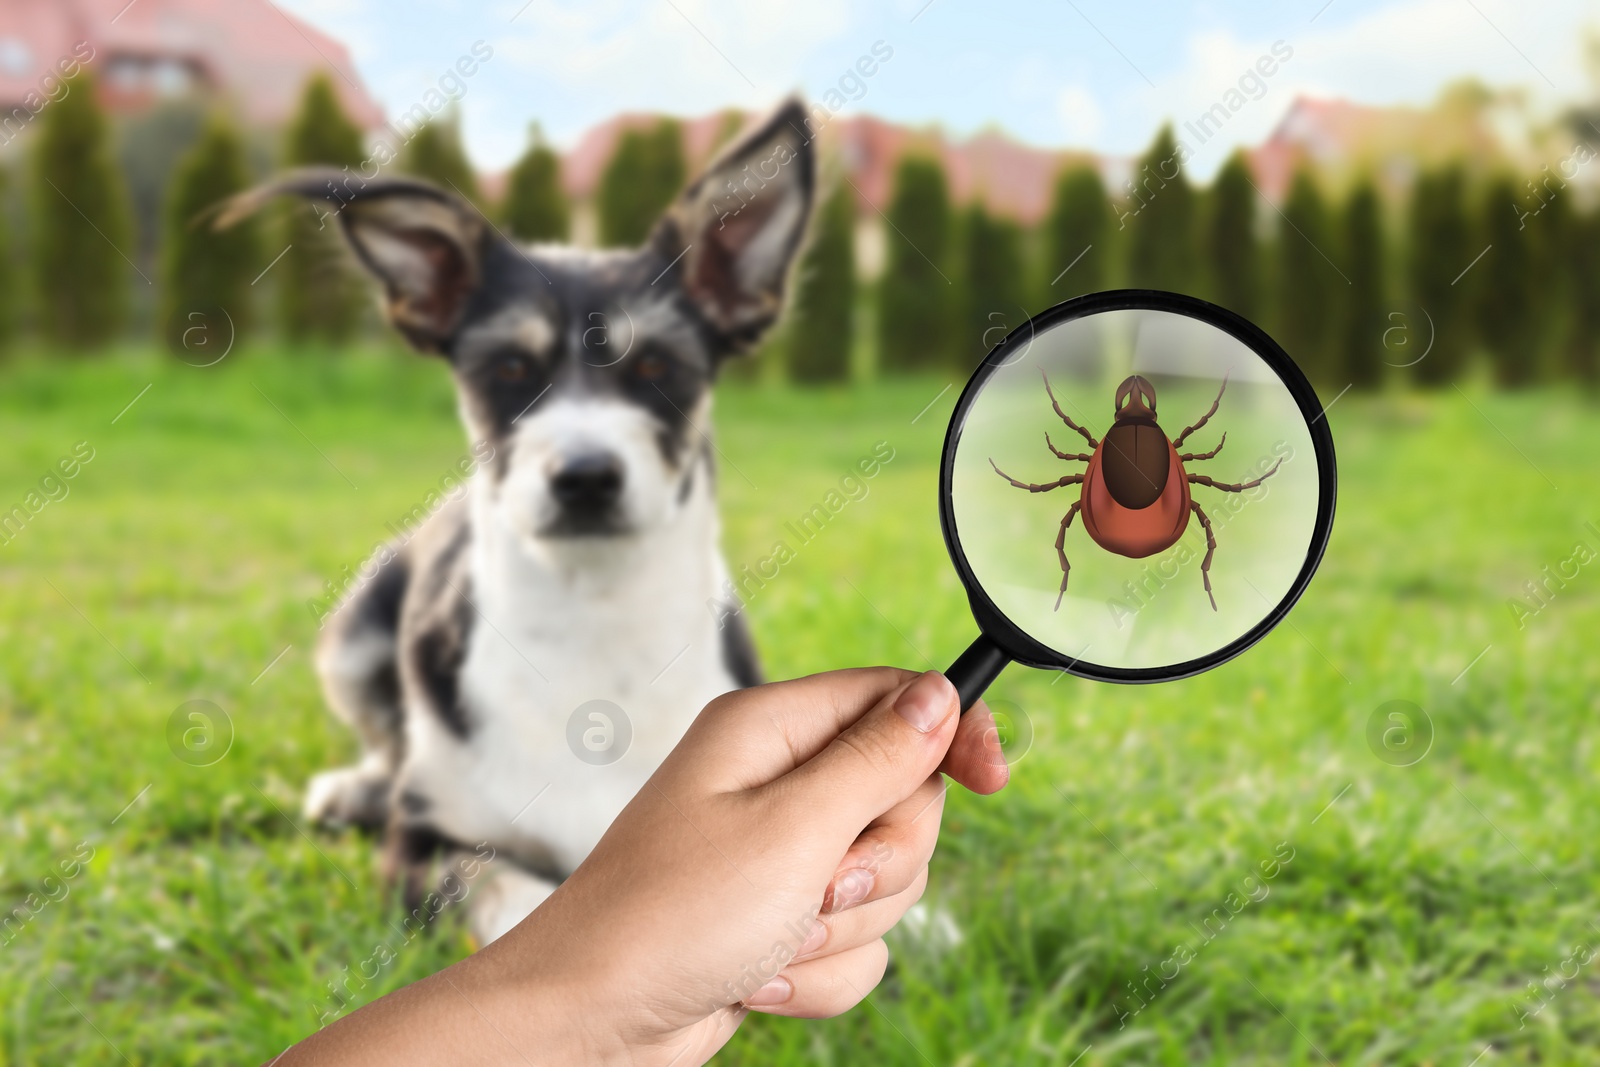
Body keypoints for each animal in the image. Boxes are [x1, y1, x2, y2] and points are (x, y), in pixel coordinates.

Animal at [225, 102, 812, 940]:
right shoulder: (421, 849)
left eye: (658, 368)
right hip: (351, 641)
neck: (594, 624)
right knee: (385, 741)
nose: (585, 476)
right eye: (508, 369)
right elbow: (519, 897)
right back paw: (354, 788)